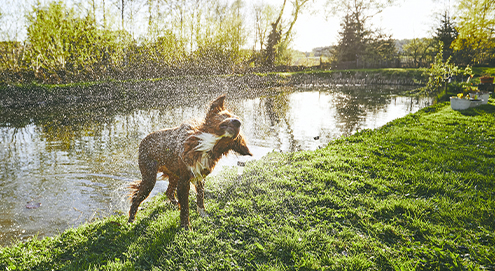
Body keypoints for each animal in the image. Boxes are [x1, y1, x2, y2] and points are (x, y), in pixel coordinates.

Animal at [128, 95, 252, 230]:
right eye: (225, 115)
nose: (238, 122)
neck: (208, 144)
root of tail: (143, 140)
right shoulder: (184, 180)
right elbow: (186, 207)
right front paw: (185, 226)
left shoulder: (199, 177)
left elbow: (200, 198)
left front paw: (203, 214)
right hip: (150, 179)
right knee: (136, 199)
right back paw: (131, 221)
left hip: (174, 176)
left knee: (169, 192)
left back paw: (175, 203)